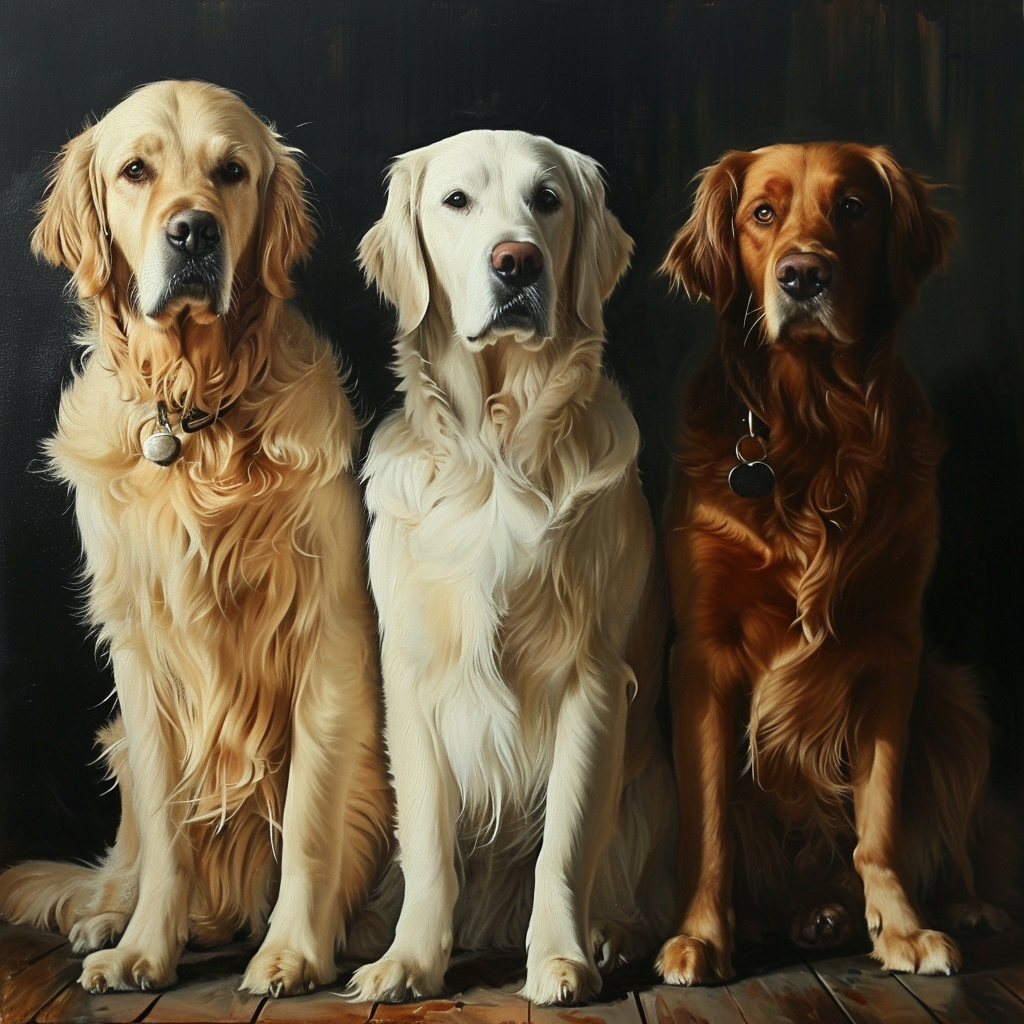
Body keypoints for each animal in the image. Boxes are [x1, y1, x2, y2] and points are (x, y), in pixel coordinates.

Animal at [0, 81, 389, 999]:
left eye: (233, 172)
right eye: (135, 171)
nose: (193, 232)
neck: (194, 420)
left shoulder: (326, 641)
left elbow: (310, 821)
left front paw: (292, 953)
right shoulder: (143, 656)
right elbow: (169, 832)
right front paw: (145, 949)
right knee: (129, 858)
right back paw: (109, 916)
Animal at [348, 132, 675, 1003]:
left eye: (548, 200)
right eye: (456, 201)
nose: (517, 261)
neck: (494, 453)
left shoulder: (594, 678)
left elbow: (566, 839)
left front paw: (560, 958)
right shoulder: (412, 676)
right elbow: (429, 846)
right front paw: (408, 961)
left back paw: (612, 934)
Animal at [655, 142, 1007, 983]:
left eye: (852, 208)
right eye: (762, 213)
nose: (803, 276)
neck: (814, 425)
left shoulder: (894, 647)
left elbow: (880, 820)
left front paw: (904, 929)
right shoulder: (701, 653)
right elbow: (709, 824)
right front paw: (700, 936)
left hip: (954, 701)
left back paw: (944, 904)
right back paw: (792, 917)